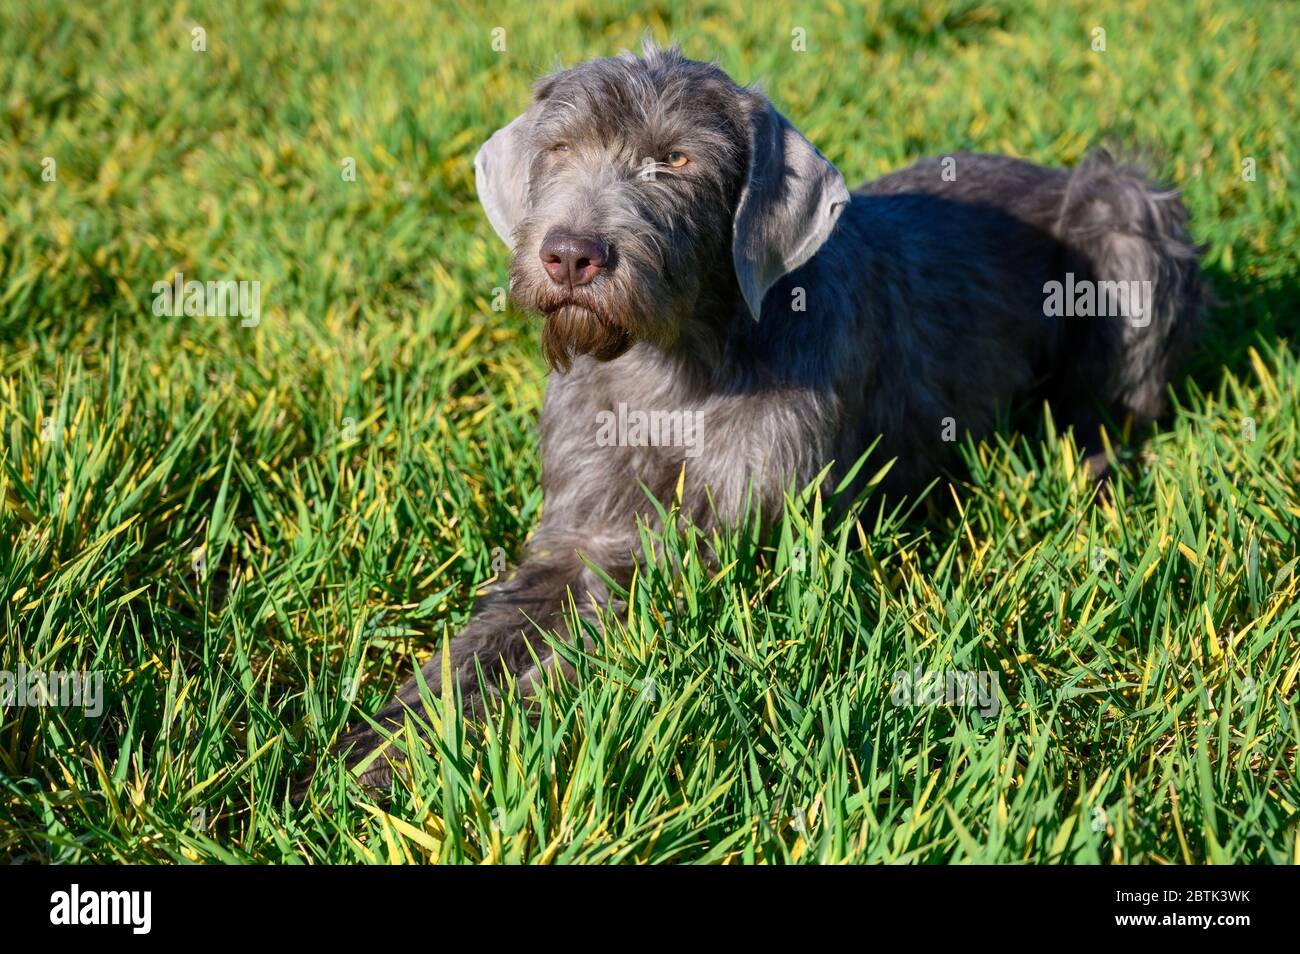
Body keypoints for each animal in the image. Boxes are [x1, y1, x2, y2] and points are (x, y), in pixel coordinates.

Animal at [330, 42, 1201, 790]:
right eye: (559, 148)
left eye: (677, 159)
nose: (571, 254)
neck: (669, 373)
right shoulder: (579, 534)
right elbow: (481, 641)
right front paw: (375, 750)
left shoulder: (732, 543)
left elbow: (593, 634)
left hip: (1128, 216)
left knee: (1116, 409)